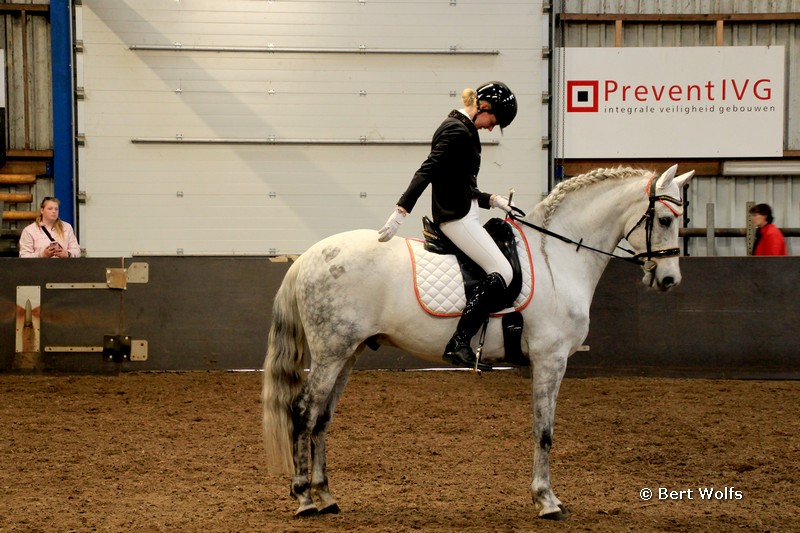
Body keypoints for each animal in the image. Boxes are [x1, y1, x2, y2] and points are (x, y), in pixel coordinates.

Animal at [261, 164, 695, 519]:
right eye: (664, 218)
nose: (669, 280)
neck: (555, 258)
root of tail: (309, 255)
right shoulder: (550, 360)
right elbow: (544, 431)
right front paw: (547, 501)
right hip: (331, 353)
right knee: (303, 412)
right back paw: (304, 499)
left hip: (346, 354)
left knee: (322, 419)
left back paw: (326, 496)